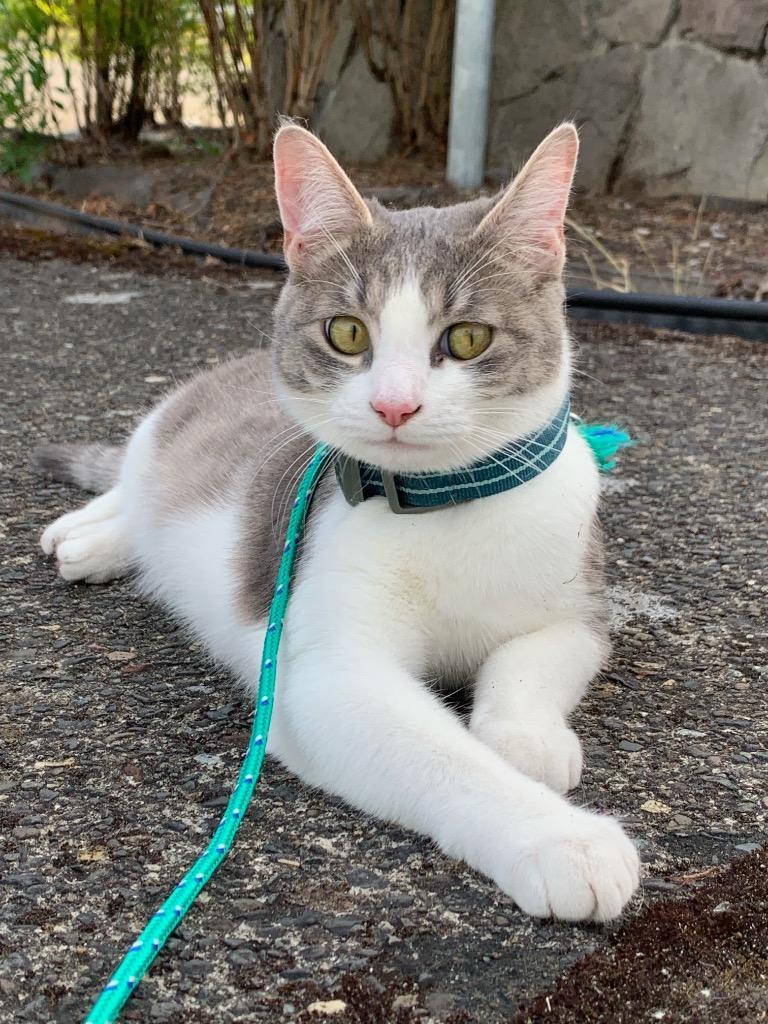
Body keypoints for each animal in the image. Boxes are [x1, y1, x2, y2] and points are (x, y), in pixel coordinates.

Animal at [36, 117, 638, 921]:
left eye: (468, 338)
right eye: (347, 334)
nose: (394, 405)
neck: (447, 503)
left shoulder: (578, 608)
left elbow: (533, 660)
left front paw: (526, 739)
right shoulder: (323, 674)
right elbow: (442, 758)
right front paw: (564, 840)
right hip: (165, 425)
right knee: (132, 483)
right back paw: (88, 535)